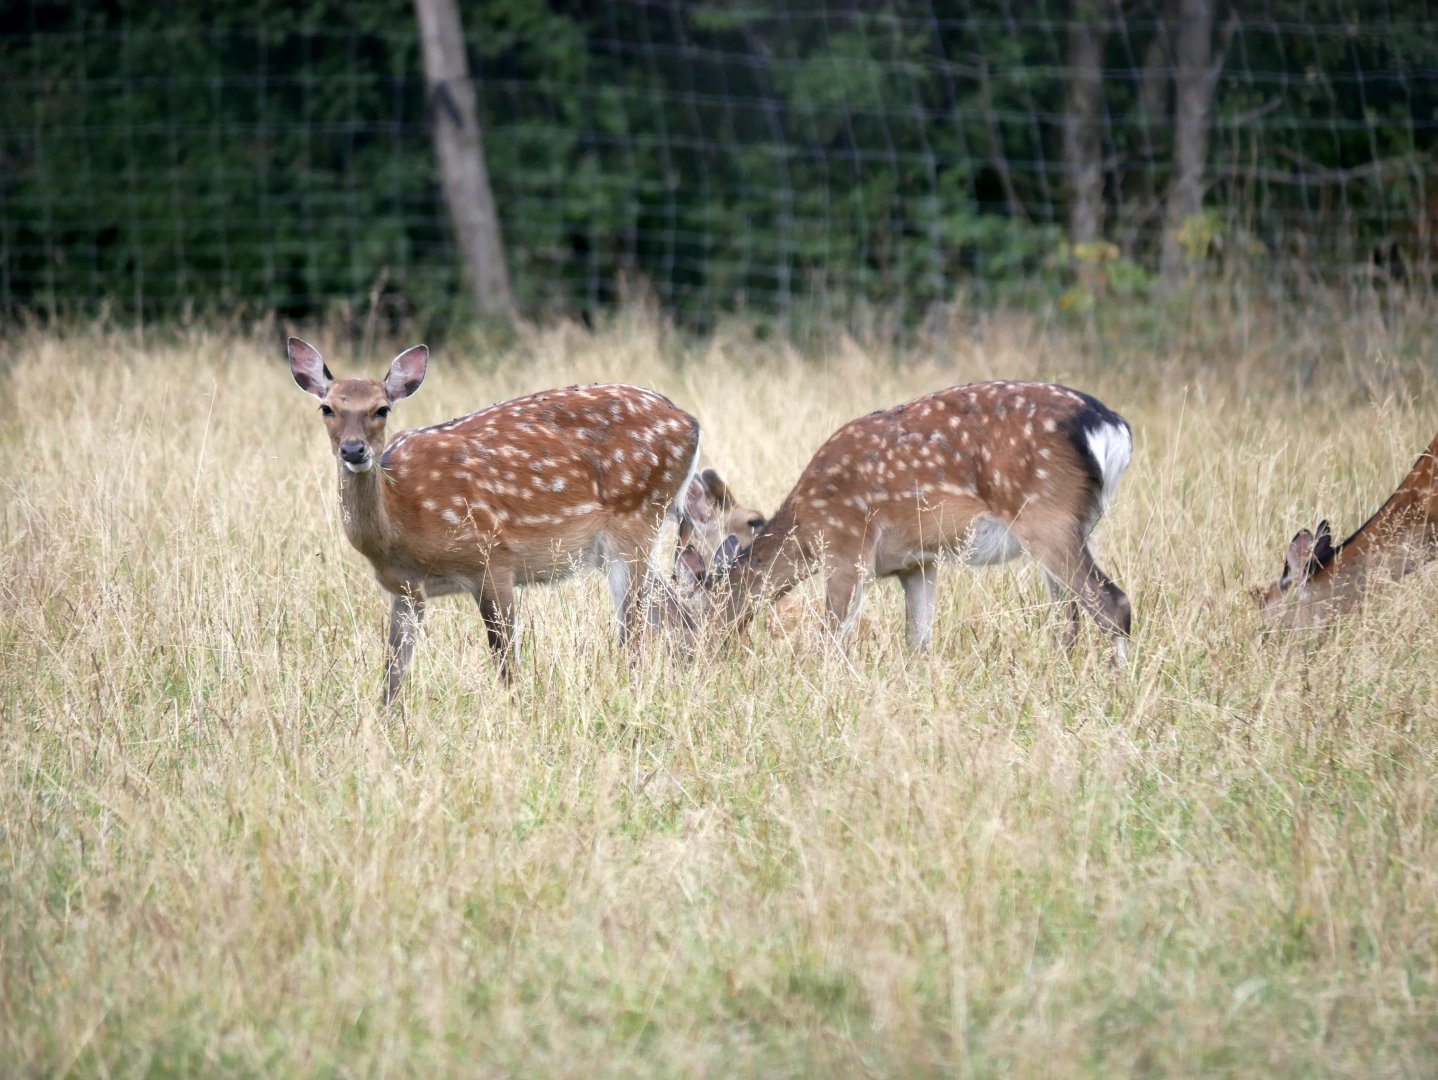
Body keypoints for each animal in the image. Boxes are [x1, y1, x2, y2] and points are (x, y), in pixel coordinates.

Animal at [287, 337, 702, 703]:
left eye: (381, 409)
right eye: (327, 408)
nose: (353, 450)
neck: (404, 522)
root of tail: (690, 423)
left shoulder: (492, 559)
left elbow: (507, 665)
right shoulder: (405, 591)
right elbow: (392, 673)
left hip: (636, 519)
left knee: (634, 633)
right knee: (679, 618)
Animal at [673, 381, 1134, 657]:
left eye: (690, 620)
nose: (691, 659)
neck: (807, 527)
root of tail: (1112, 429)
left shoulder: (847, 547)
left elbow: (829, 639)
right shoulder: (918, 562)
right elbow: (919, 642)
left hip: (1046, 514)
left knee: (1112, 604)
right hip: (1078, 524)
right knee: (1068, 617)